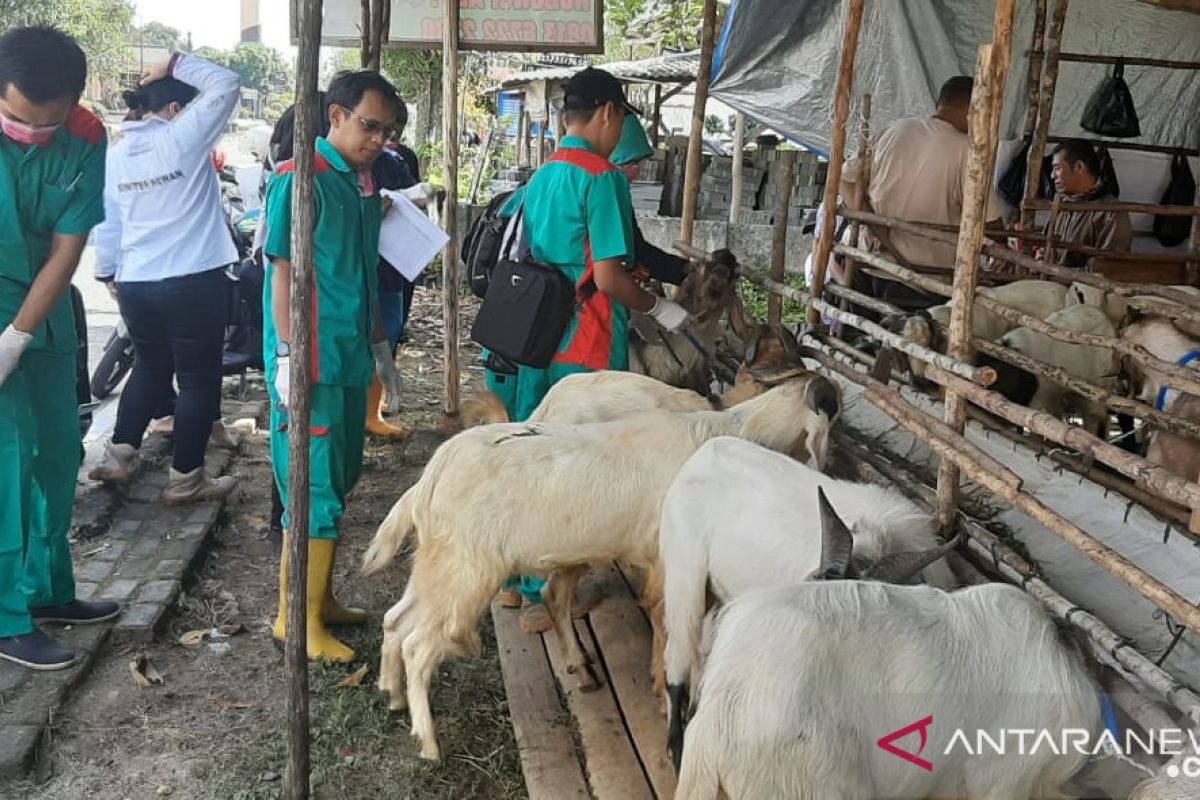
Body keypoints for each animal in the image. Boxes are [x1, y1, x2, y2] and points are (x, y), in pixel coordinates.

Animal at [360, 376, 840, 762]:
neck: (729, 433)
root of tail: (428, 481)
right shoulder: (671, 559)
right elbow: (668, 625)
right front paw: (664, 693)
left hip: (439, 564)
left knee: (396, 620)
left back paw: (392, 696)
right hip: (466, 571)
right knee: (419, 645)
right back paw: (429, 744)